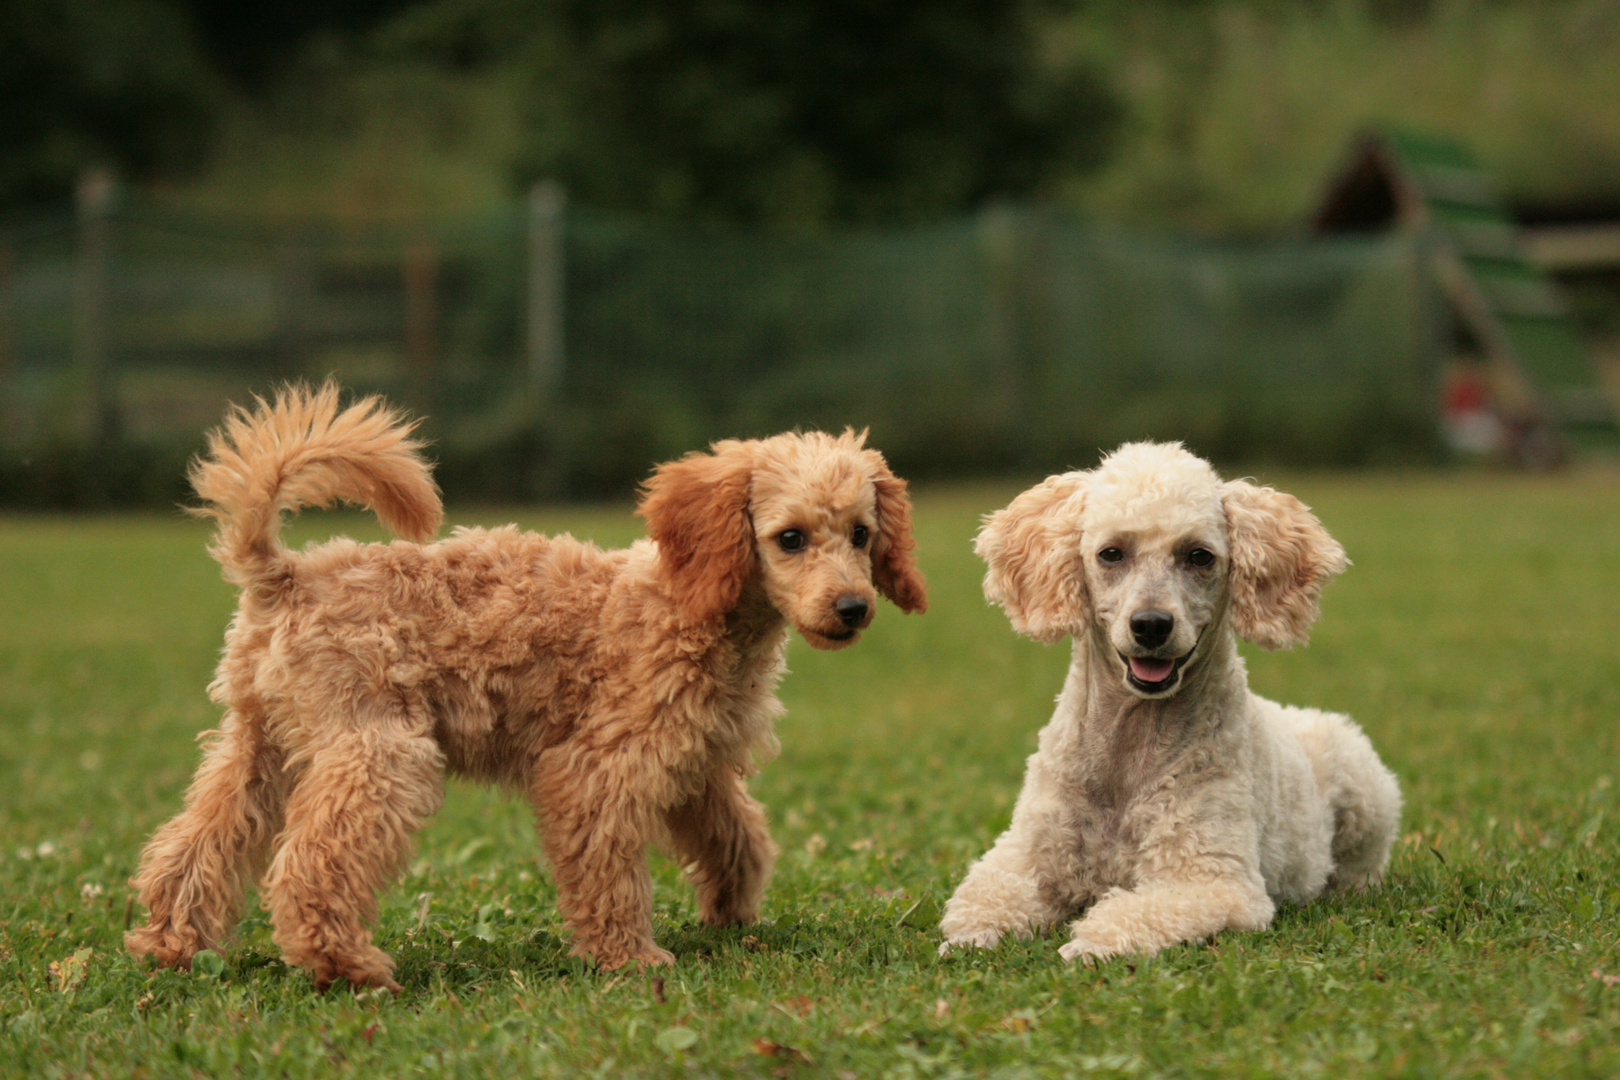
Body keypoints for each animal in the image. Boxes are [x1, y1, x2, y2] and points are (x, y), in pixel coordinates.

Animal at [126, 386, 926, 990]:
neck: (686, 603)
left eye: (861, 534)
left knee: (194, 847)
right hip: (380, 749)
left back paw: (170, 944)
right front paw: (629, 959)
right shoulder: (596, 767)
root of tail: (284, 574)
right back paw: (343, 963)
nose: (853, 608)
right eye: (790, 538)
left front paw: (732, 913)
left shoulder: (693, 758)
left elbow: (738, 835)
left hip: (260, 745)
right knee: (311, 865)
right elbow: (608, 871)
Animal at [946, 443, 1399, 965]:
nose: (1151, 625)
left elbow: (1135, 913)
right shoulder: (1025, 856)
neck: (1130, 745)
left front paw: (1088, 944)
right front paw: (971, 936)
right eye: (1111, 553)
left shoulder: (1212, 879)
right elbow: (985, 896)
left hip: (1367, 794)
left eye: (1199, 556)